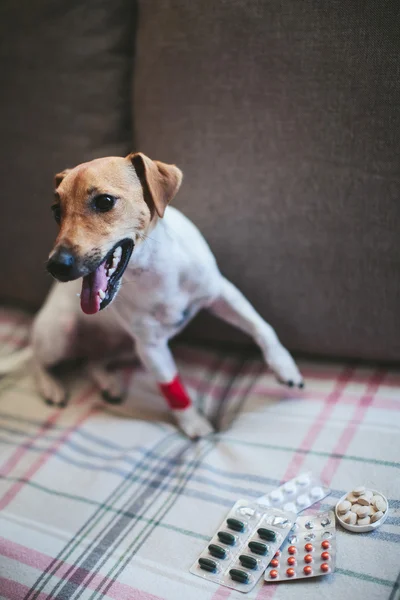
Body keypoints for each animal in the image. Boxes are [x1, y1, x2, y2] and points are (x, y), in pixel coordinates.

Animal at [0, 152, 304, 438]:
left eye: (104, 201)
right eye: (56, 211)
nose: (56, 266)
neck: (155, 268)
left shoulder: (222, 293)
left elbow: (261, 327)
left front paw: (285, 367)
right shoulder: (151, 347)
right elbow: (172, 388)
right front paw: (194, 424)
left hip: (126, 349)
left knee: (92, 361)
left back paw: (108, 382)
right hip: (60, 335)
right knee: (39, 363)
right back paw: (51, 386)